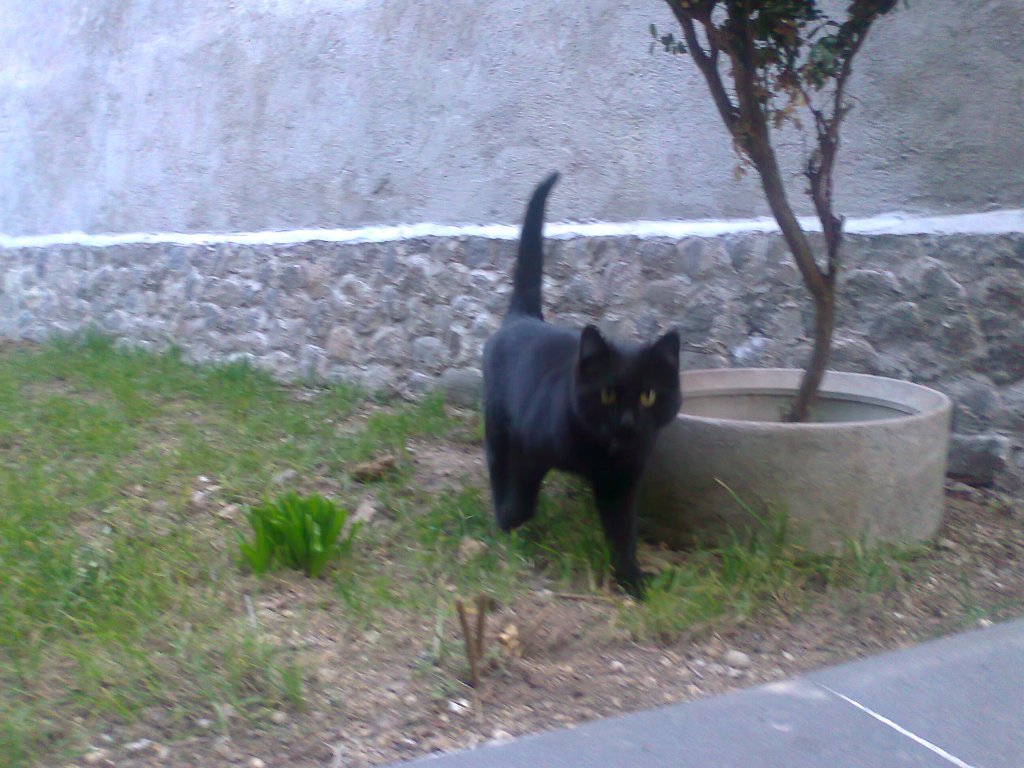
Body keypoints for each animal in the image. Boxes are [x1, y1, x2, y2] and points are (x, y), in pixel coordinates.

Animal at [482, 172, 682, 598]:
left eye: (648, 395)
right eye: (607, 393)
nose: (627, 422)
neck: (600, 455)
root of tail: (522, 317)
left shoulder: (623, 481)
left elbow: (623, 531)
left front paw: (631, 579)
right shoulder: (530, 449)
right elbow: (523, 496)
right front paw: (510, 521)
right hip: (497, 424)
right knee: (498, 466)